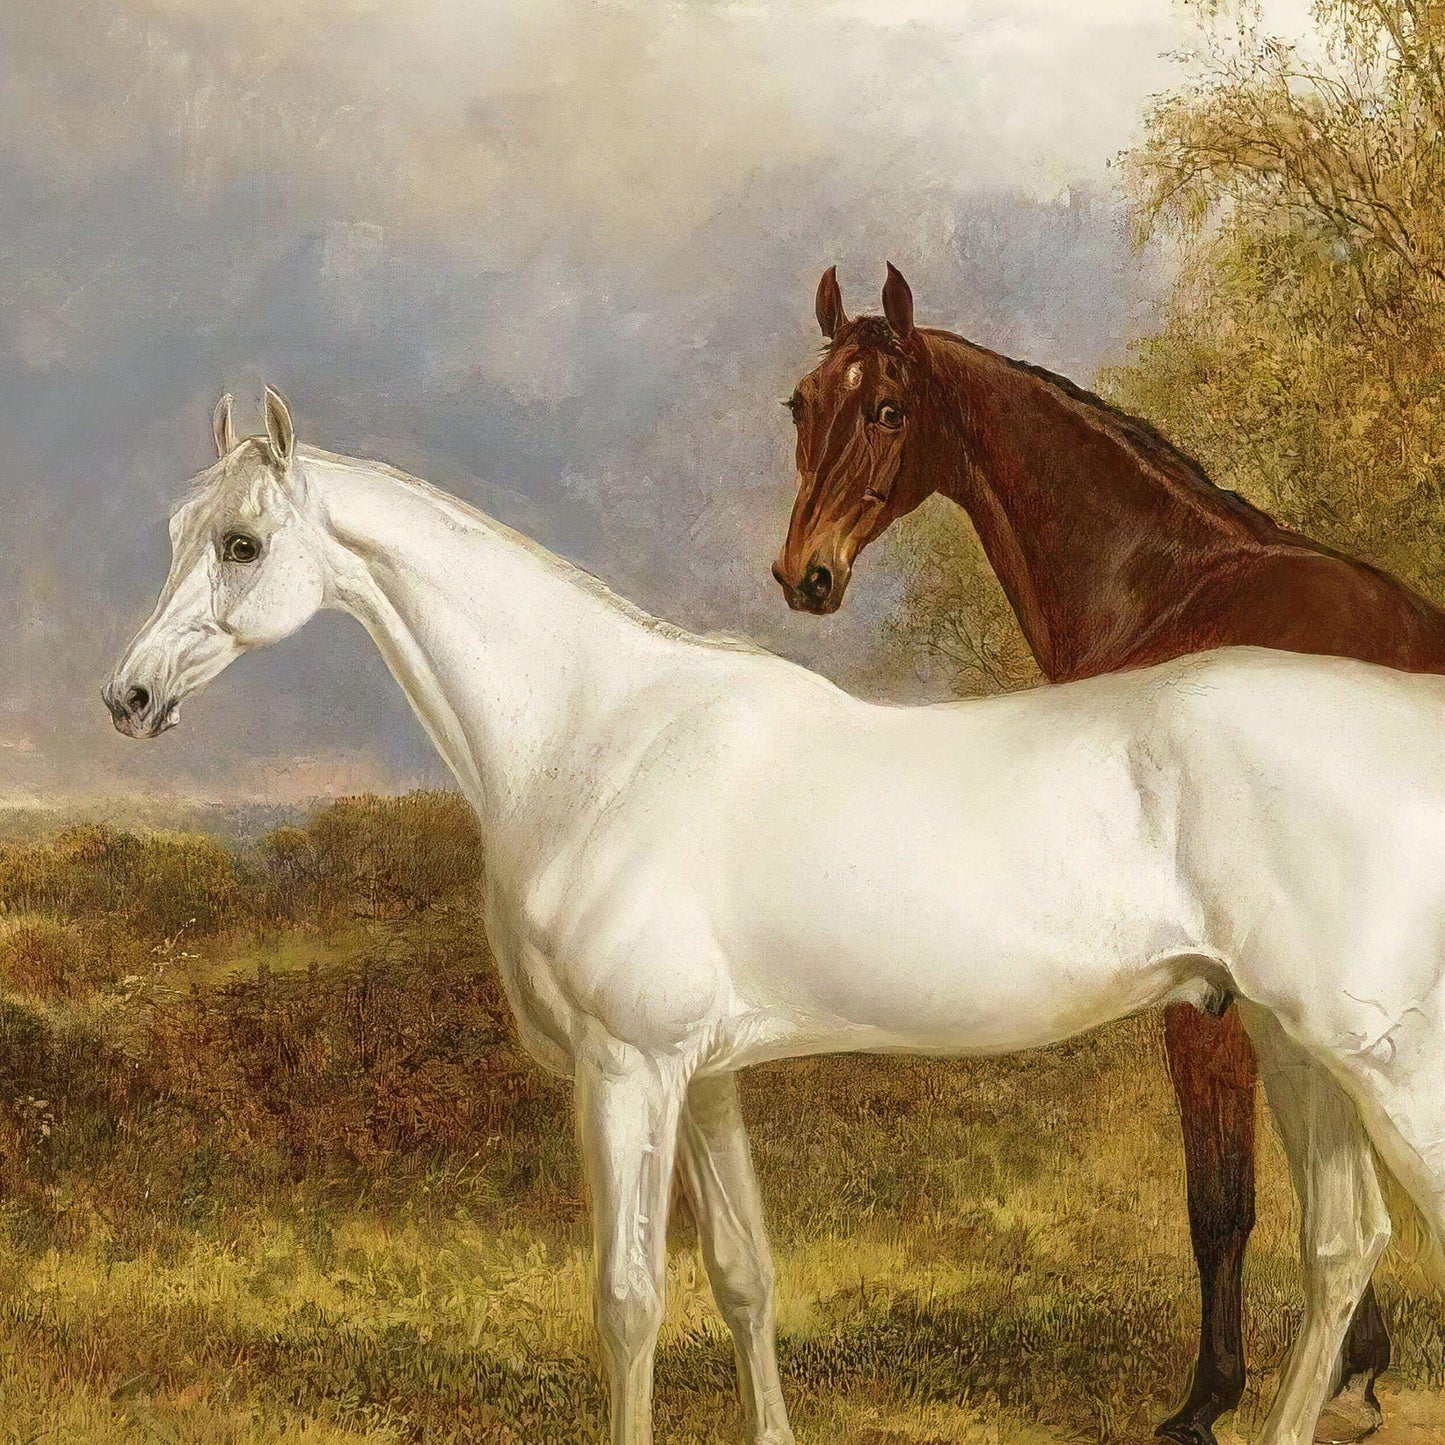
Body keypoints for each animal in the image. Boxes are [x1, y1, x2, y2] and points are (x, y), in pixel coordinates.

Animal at [106, 389, 1445, 1445]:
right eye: (171, 532)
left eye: (241, 542)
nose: (129, 697)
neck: (600, 734)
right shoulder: (704, 1076)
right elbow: (743, 1275)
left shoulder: (627, 1068)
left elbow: (627, 1298)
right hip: (1286, 1041)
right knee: (1341, 1244)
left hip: (1375, 1052)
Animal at [772, 265, 1445, 1445]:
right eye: (800, 405)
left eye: (888, 409)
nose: (802, 573)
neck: (1179, 593)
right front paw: (1356, 1373)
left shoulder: (1206, 997)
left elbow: (1221, 1199)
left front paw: (1205, 1399)